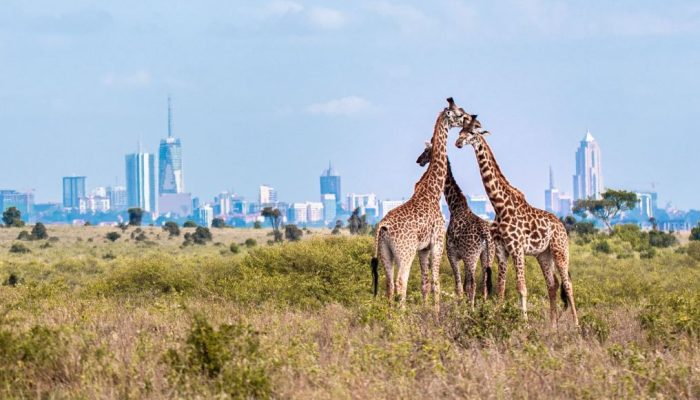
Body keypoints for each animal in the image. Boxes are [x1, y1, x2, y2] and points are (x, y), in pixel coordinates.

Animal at [372, 97, 470, 312]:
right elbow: (436, 282)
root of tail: (382, 227)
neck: (433, 191)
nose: (470, 119)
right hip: (405, 252)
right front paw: (436, 314)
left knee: (389, 284)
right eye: (459, 113)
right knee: (401, 282)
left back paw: (390, 317)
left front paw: (426, 311)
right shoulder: (437, 242)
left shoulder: (422, 248)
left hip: (386, 253)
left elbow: (425, 283)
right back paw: (401, 316)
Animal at [418, 141, 494, 306]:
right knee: (485, 283)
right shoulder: (461, 256)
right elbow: (463, 286)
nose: (418, 160)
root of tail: (485, 234)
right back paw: (485, 307)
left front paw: (460, 308)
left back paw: (472, 309)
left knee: (474, 284)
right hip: (487, 255)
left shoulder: (452, 254)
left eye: (426, 151)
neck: (455, 207)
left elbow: (459, 285)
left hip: (471, 256)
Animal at [454, 119, 580, 328]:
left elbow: (521, 287)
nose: (458, 143)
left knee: (568, 284)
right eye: (460, 131)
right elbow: (501, 287)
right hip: (543, 254)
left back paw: (577, 325)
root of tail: (562, 226)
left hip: (560, 250)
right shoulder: (501, 249)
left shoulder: (517, 248)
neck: (499, 206)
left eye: (472, 132)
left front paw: (524, 323)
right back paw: (552, 326)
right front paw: (497, 318)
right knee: (552, 284)